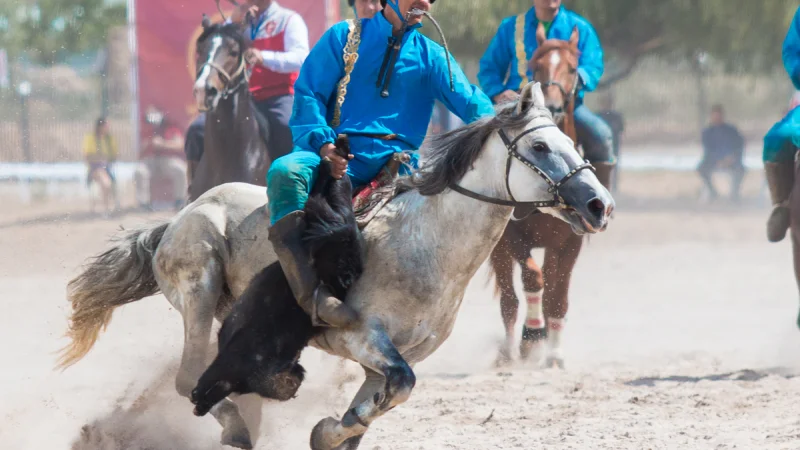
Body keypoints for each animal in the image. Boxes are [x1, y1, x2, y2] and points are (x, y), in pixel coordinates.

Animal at [59, 82, 616, 448]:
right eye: (540, 146)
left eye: (572, 143)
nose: (599, 205)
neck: (428, 242)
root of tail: (177, 220)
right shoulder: (360, 337)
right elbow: (398, 388)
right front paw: (327, 430)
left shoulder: (390, 359)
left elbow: (383, 401)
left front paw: (332, 431)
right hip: (198, 291)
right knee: (188, 379)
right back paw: (235, 426)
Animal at [488, 22, 608, 370]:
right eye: (537, 66)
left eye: (571, 68)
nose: (553, 107)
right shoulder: (513, 239)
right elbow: (533, 280)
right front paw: (532, 337)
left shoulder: (569, 242)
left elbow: (558, 297)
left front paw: (554, 353)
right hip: (498, 251)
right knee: (510, 299)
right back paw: (509, 350)